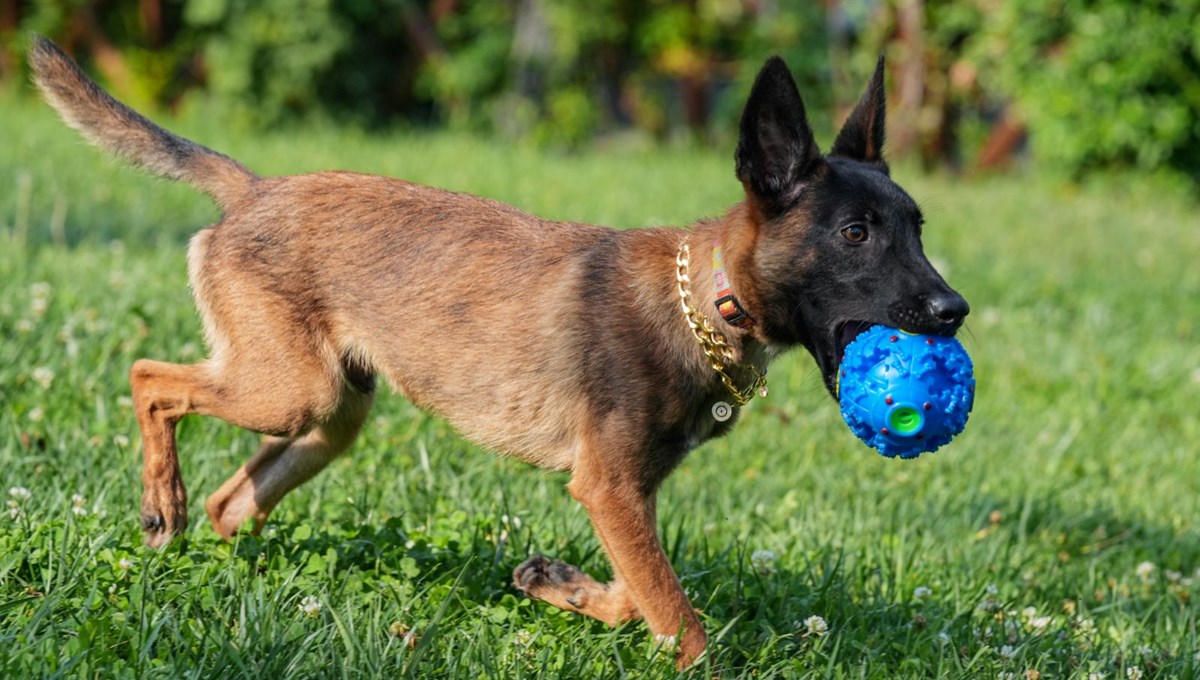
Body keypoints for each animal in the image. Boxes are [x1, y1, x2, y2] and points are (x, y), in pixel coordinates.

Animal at [30, 34, 964, 666]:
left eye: (919, 228)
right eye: (854, 234)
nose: (953, 312)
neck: (703, 299)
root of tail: (254, 187)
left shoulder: (625, 497)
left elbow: (642, 599)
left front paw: (559, 585)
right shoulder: (609, 488)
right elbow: (680, 622)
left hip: (332, 409)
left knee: (234, 501)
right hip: (288, 389)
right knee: (147, 376)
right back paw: (162, 503)